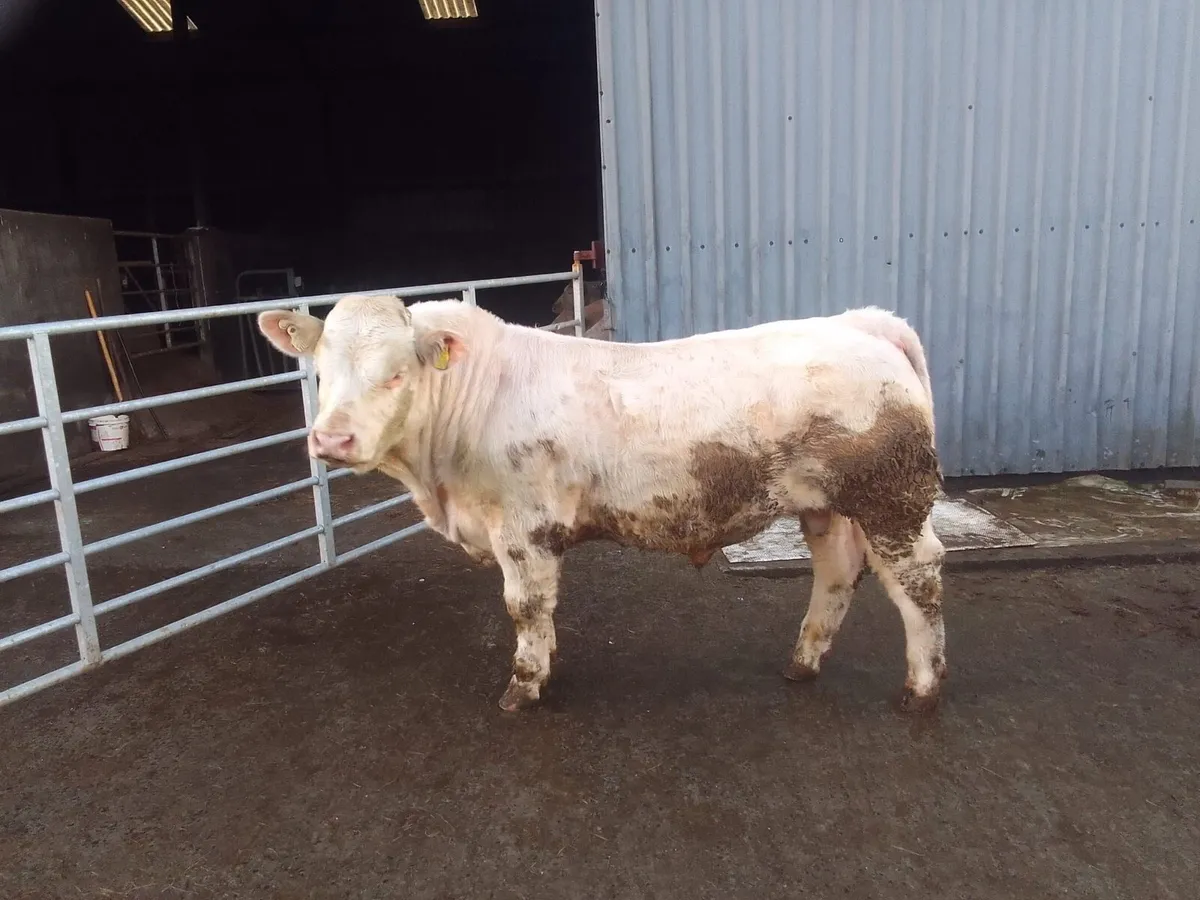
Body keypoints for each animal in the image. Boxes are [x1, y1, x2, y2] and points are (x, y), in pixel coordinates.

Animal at [257, 295, 947, 714]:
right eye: (319, 370)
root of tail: (860, 322)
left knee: (919, 578)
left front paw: (523, 686)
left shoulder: (523, 527)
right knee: (837, 571)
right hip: (827, 504)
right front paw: (545, 664)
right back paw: (802, 664)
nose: (331, 440)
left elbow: (525, 607)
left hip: (891, 500)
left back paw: (922, 687)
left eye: (397, 372)